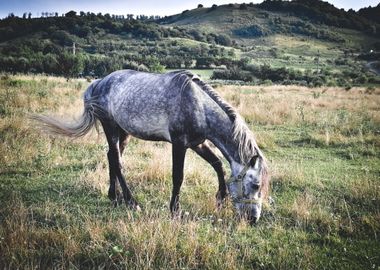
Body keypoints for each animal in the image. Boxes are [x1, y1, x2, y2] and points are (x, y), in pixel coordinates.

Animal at [33, 69, 270, 224]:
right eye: (255, 185)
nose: (254, 219)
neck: (198, 105)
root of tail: (99, 82)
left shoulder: (198, 143)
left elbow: (218, 164)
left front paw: (220, 199)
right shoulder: (179, 144)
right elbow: (178, 176)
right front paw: (174, 211)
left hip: (123, 132)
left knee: (112, 157)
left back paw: (114, 197)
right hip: (111, 128)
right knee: (117, 162)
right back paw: (131, 202)